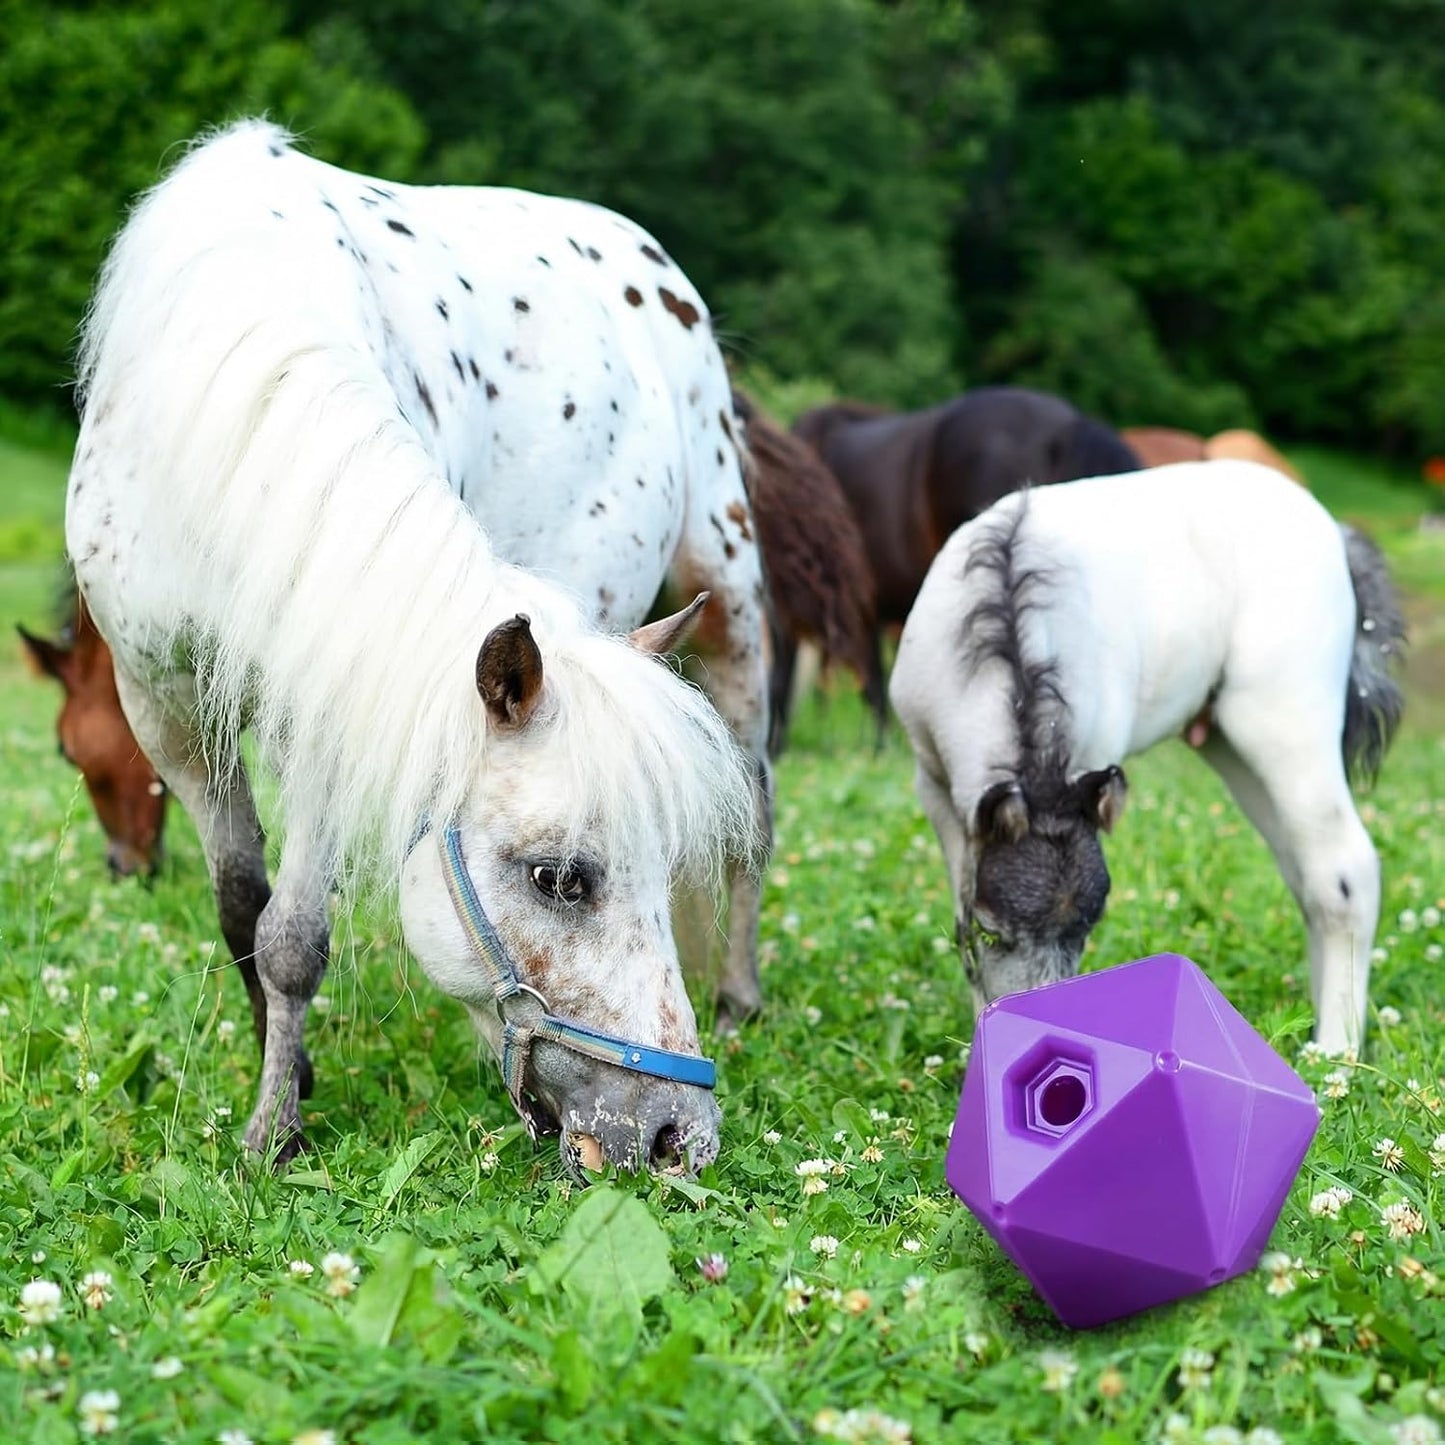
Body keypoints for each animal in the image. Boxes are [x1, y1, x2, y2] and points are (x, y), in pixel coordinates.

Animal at [66, 121, 772, 1176]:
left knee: (754, 820)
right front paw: (286, 1089)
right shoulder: (169, 713)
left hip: (730, 602)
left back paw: (738, 996)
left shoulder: (327, 710)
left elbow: (293, 936)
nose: (677, 1137)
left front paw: (275, 1129)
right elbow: (243, 911)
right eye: (558, 878)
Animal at [890, 460, 1404, 1055]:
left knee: (1342, 870)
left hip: (1286, 721)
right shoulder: (934, 783)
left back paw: (1338, 1050)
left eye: (1087, 930)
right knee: (1305, 875)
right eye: (997, 931)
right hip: (1231, 745)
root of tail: (1337, 535)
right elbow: (962, 926)